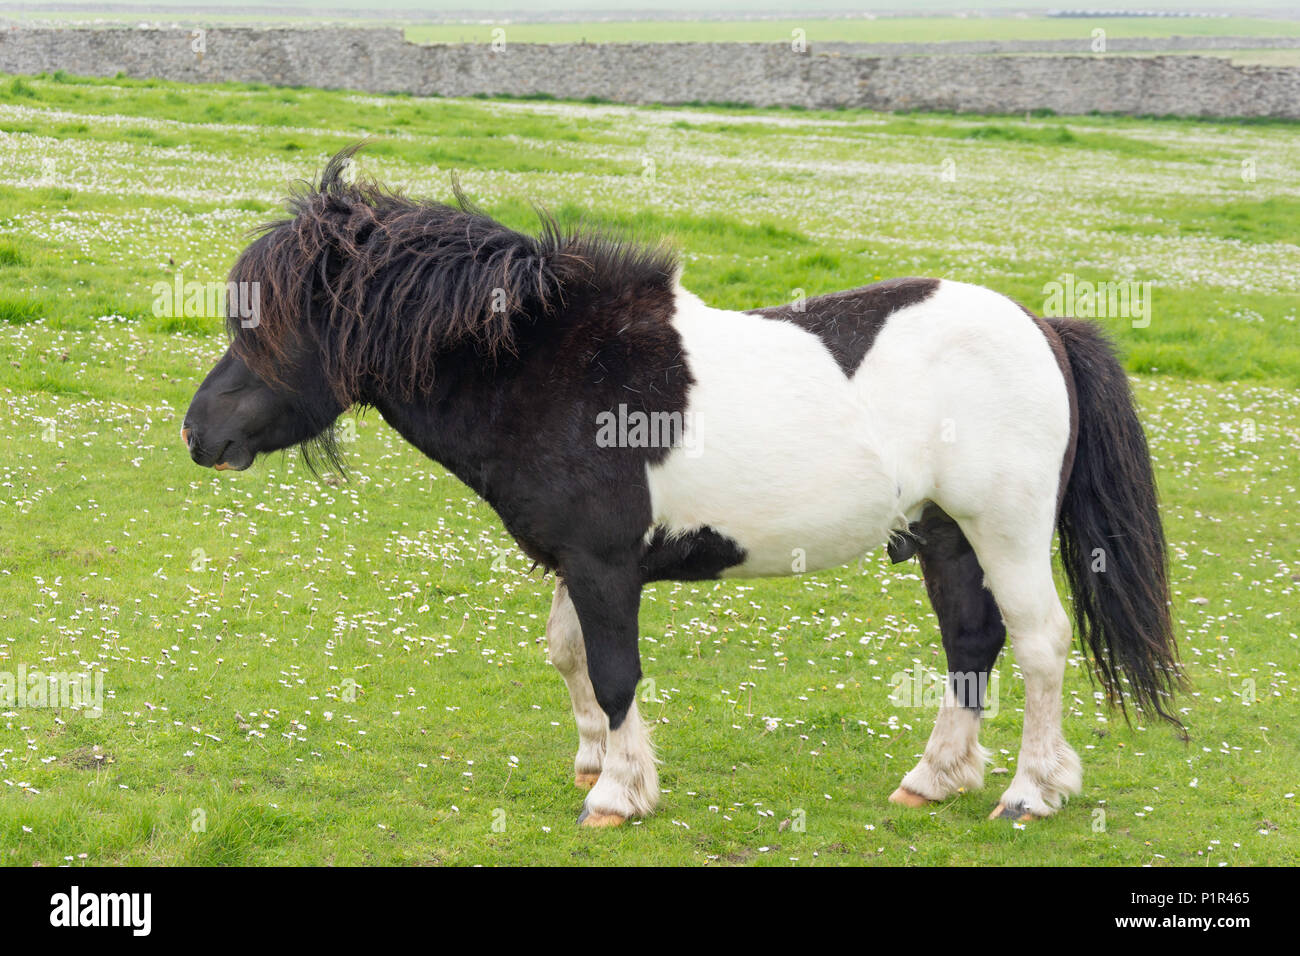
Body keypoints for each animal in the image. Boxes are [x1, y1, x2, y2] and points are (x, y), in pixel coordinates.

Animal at [185, 145, 1190, 827]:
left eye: (267, 326)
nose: (199, 433)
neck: (549, 367)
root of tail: (1043, 326)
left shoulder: (603, 566)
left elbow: (615, 671)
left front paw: (619, 795)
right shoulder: (577, 562)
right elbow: (570, 657)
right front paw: (593, 762)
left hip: (1004, 530)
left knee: (1040, 643)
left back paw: (1031, 791)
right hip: (945, 534)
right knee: (971, 643)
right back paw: (934, 778)